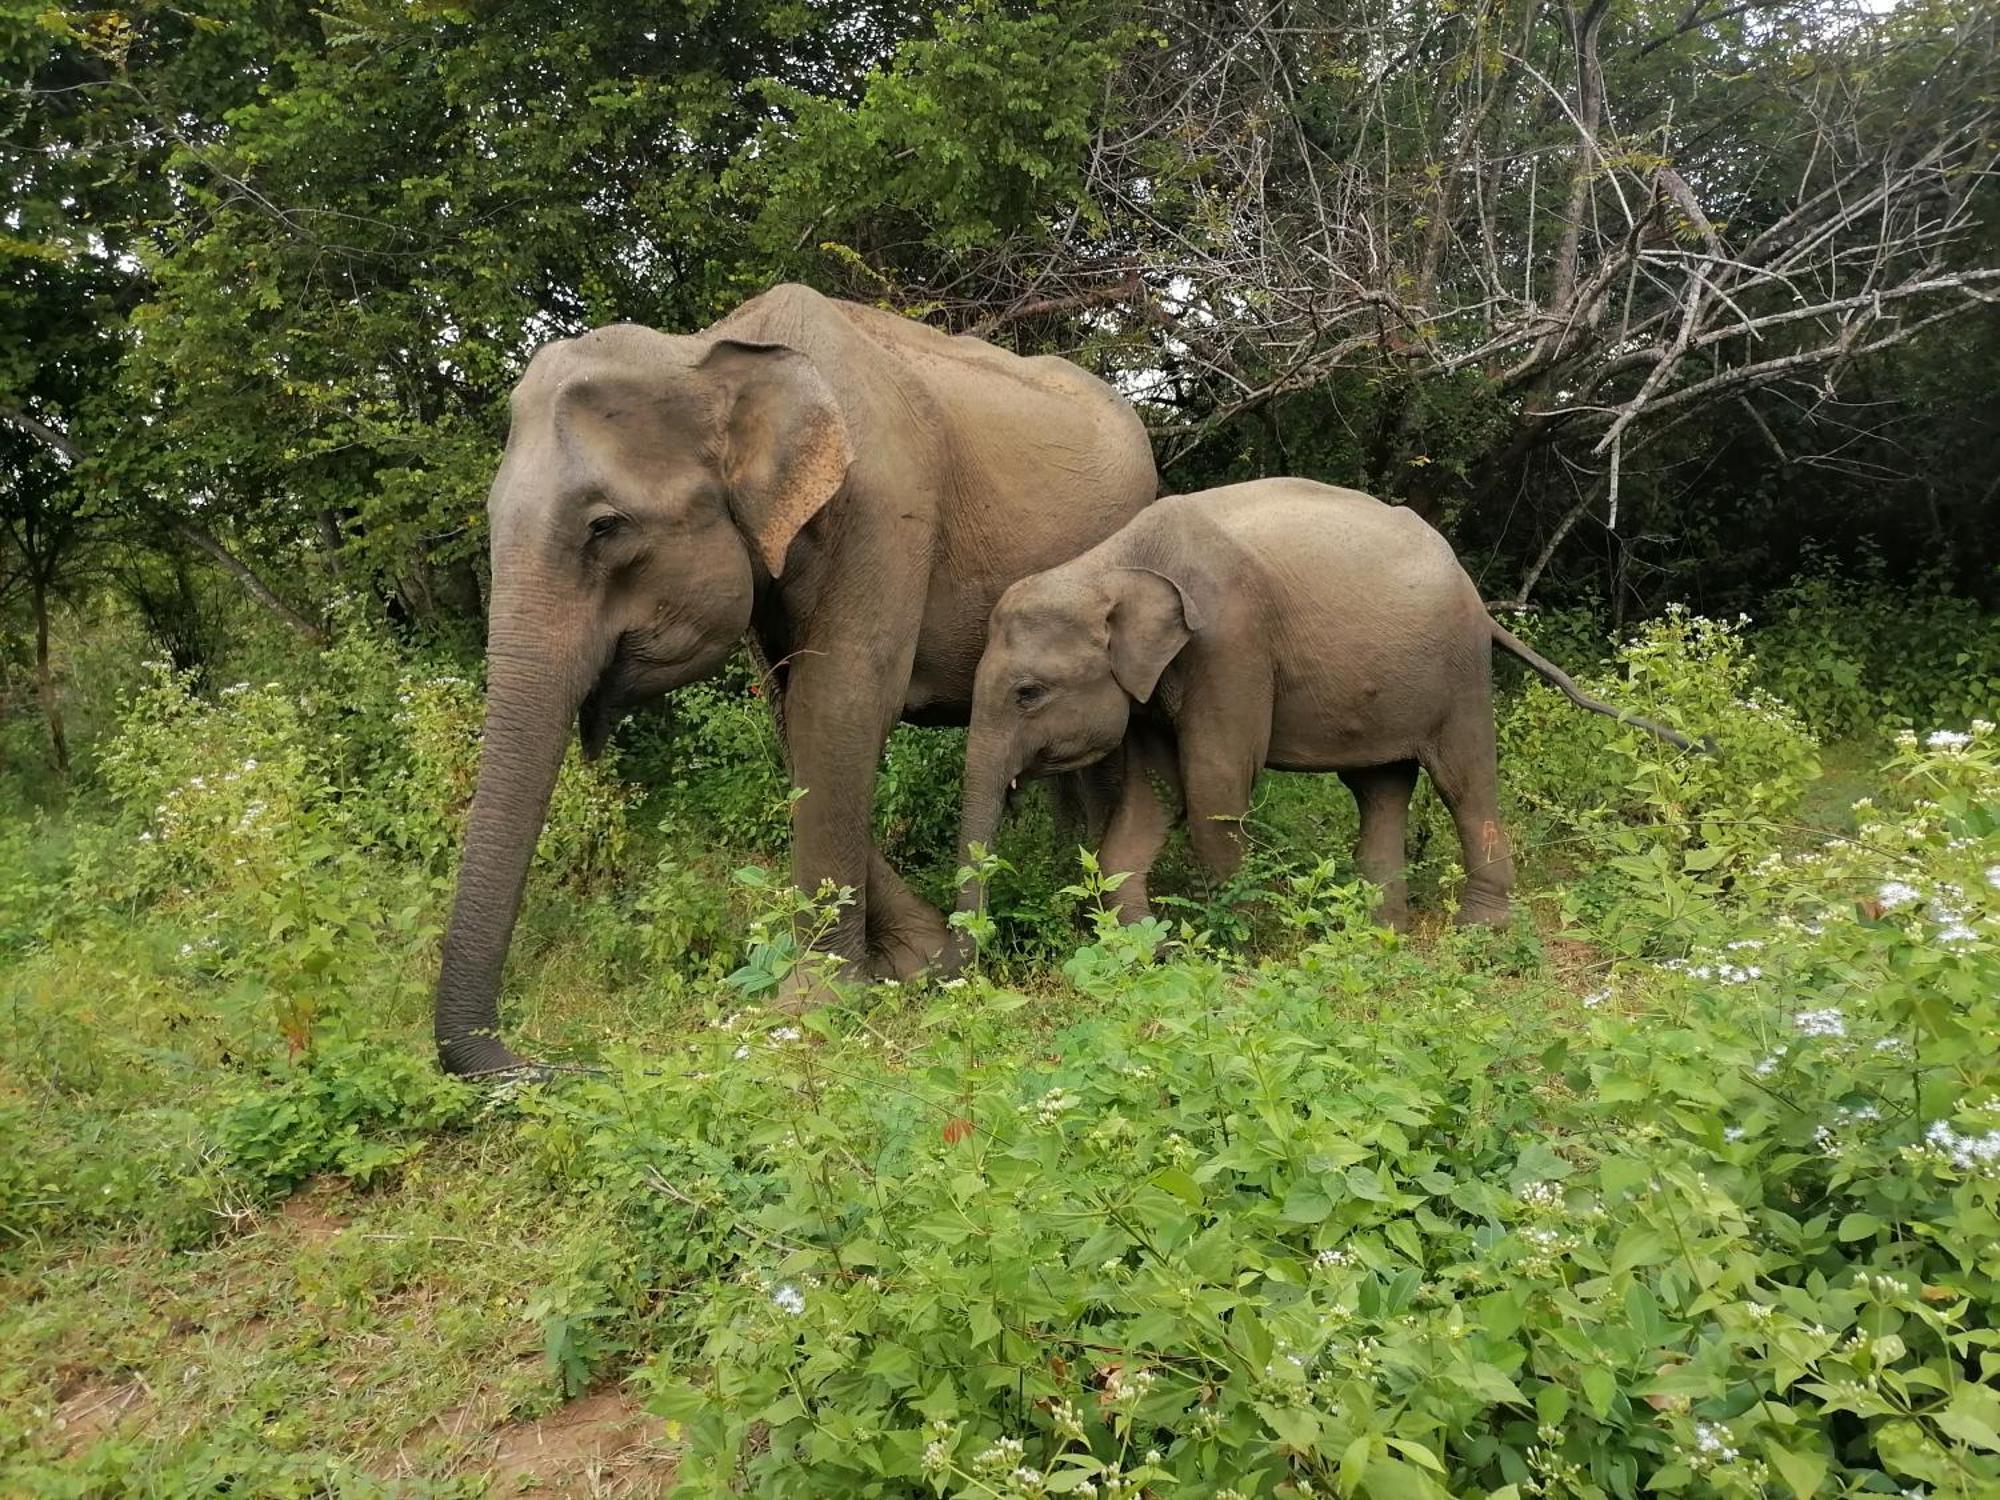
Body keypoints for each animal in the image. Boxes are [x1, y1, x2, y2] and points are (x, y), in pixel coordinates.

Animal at [438, 284, 1160, 1080]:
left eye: (605, 527)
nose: (561, 1065)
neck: (710, 351)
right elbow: (794, 714)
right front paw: (911, 963)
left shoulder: (883, 506)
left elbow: (840, 701)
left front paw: (815, 1005)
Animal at [948, 482, 1688, 944]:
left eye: (1028, 693)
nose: (962, 969)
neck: (1113, 561)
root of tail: (1480, 601)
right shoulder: (1157, 686)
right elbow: (1154, 796)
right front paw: (1145, 949)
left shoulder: (1231, 644)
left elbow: (1215, 785)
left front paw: (1250, 940)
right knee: (1381, 789)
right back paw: (1381, 932)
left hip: (1459, 672)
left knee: (1465, 783)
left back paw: (1480, 934)